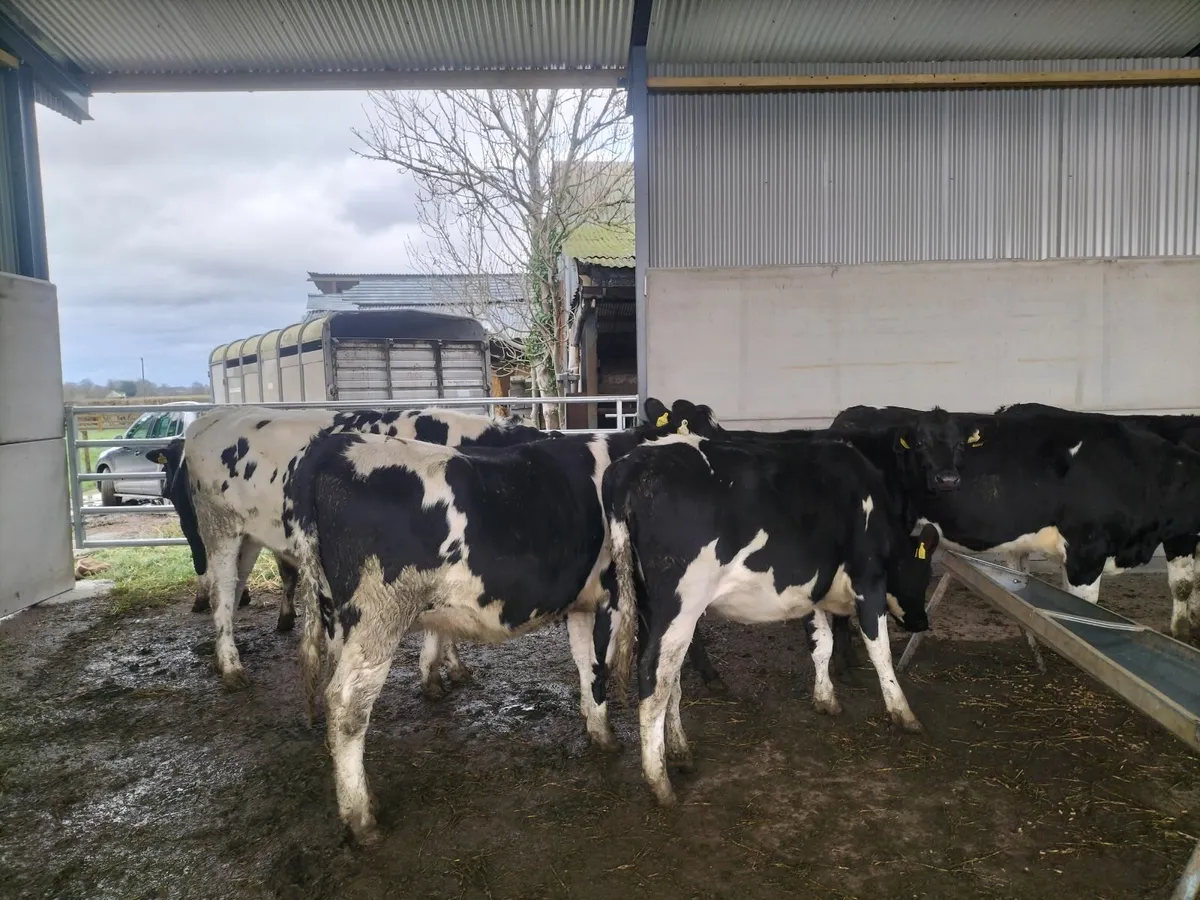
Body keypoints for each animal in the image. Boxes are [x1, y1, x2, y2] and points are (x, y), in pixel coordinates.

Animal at [150, 405, 556, 692]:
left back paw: (221, 657)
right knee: (219, 593)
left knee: (232, 589)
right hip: (219, 530)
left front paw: (453, 668)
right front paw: (432, 676)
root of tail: (214, 417)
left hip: (248, 537)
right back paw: (232, 667)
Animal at [281, 399, 716, 842]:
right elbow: (637, 676)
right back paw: (361, 818)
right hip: (378, 617)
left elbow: (586, 664)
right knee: (347, 705)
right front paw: (656, 746)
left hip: (337, 619)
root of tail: (330, 449)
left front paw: (599, 729)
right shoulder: (627, 599)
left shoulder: (581, 602)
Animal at [603, 432, 940, 805]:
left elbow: (822, 644)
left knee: (669, 680)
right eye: (924, 573)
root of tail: (634, 462)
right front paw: (903, 713)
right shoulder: (869, 582)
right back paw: (659, 782)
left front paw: (826, 699)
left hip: (652, 609)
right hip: (679, 607)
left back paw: (680, 754)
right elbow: (880, 651)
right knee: (654, 677)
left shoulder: (810, 591)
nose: (922, 623)